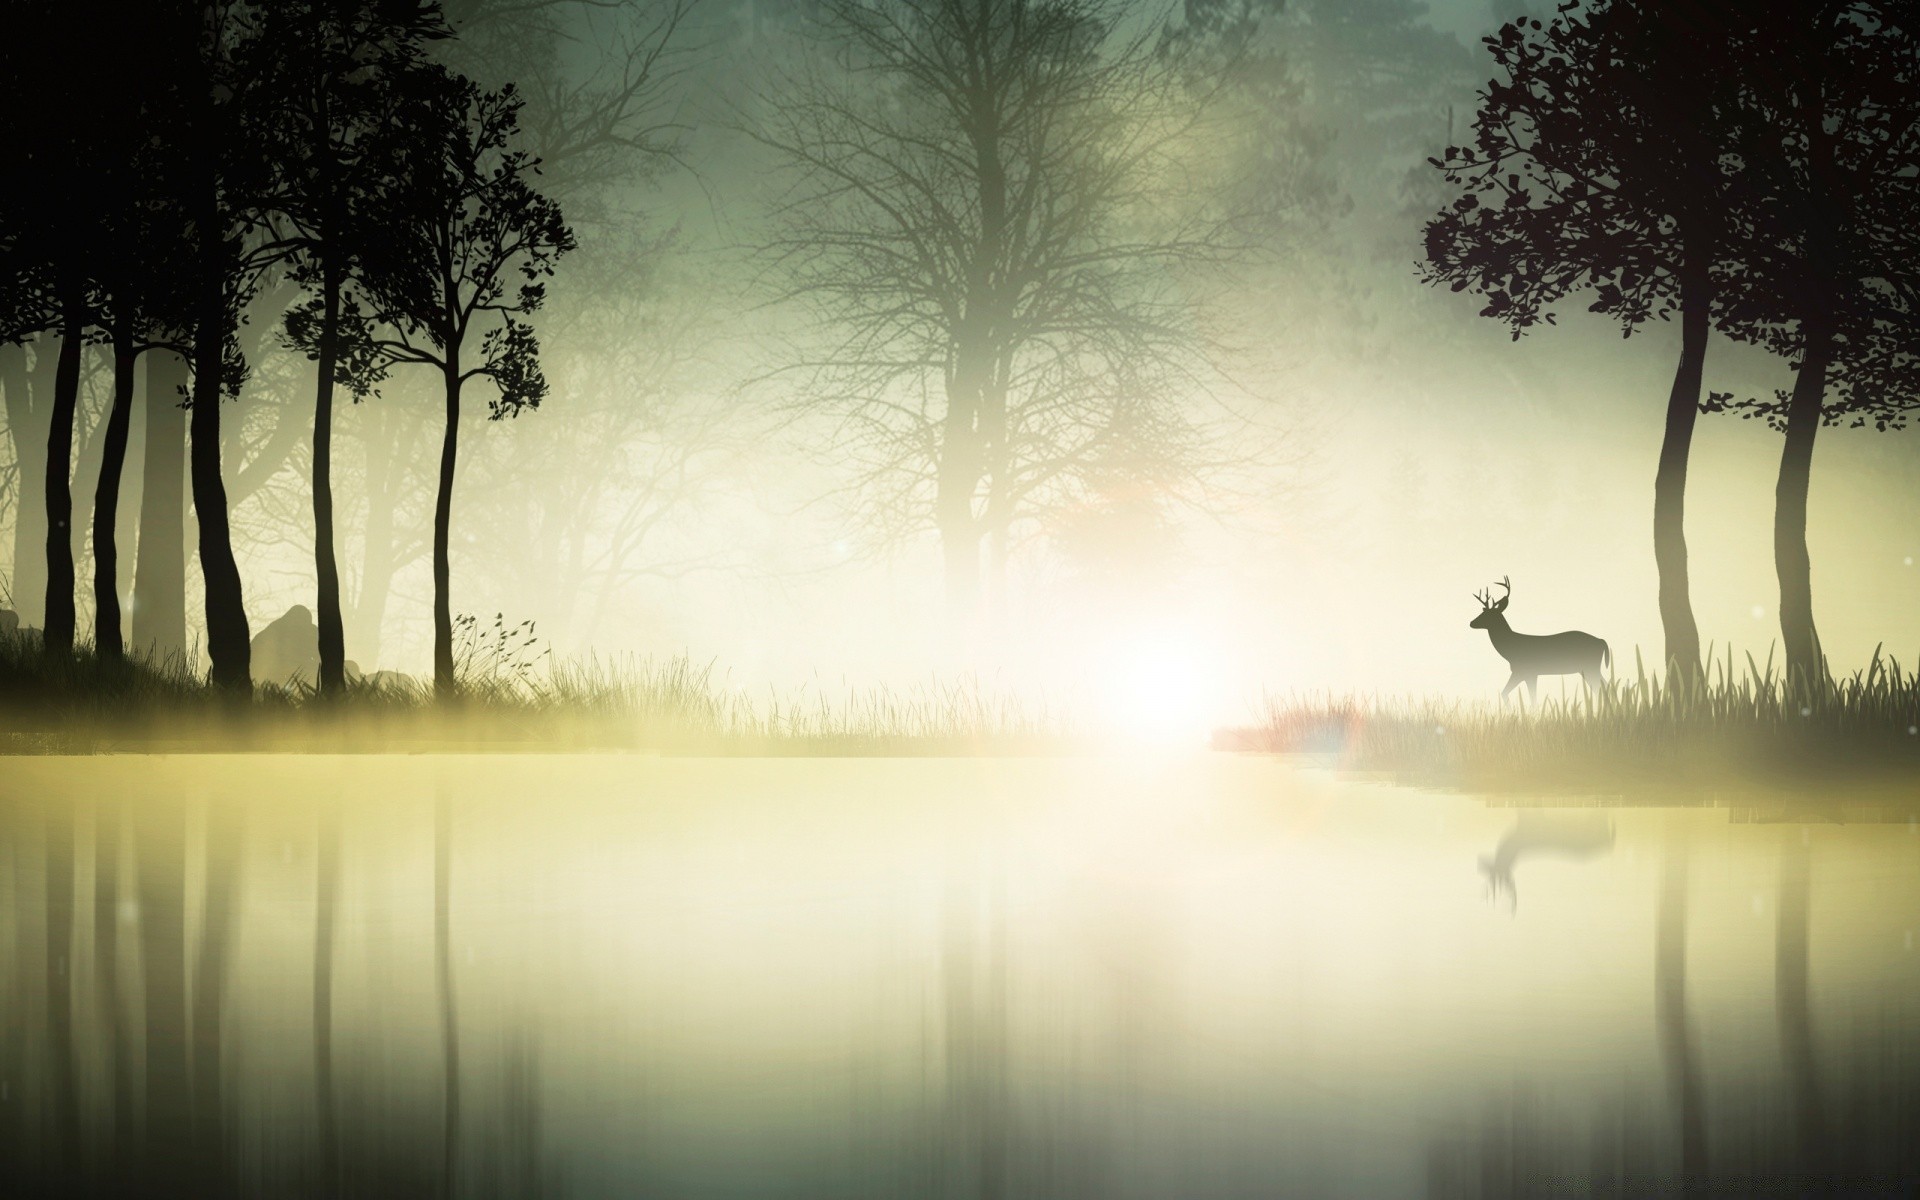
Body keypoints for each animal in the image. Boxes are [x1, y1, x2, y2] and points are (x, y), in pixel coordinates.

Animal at [1466, 572, 1605, 698]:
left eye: (1488, 614)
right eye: (1483, 612)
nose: (1471, 622)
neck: (1510, 650)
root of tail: (1601, 641)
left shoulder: (1529, 671)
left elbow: (1532, 698)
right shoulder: (1521, 672)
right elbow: (1505, 693)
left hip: (1590, 666)